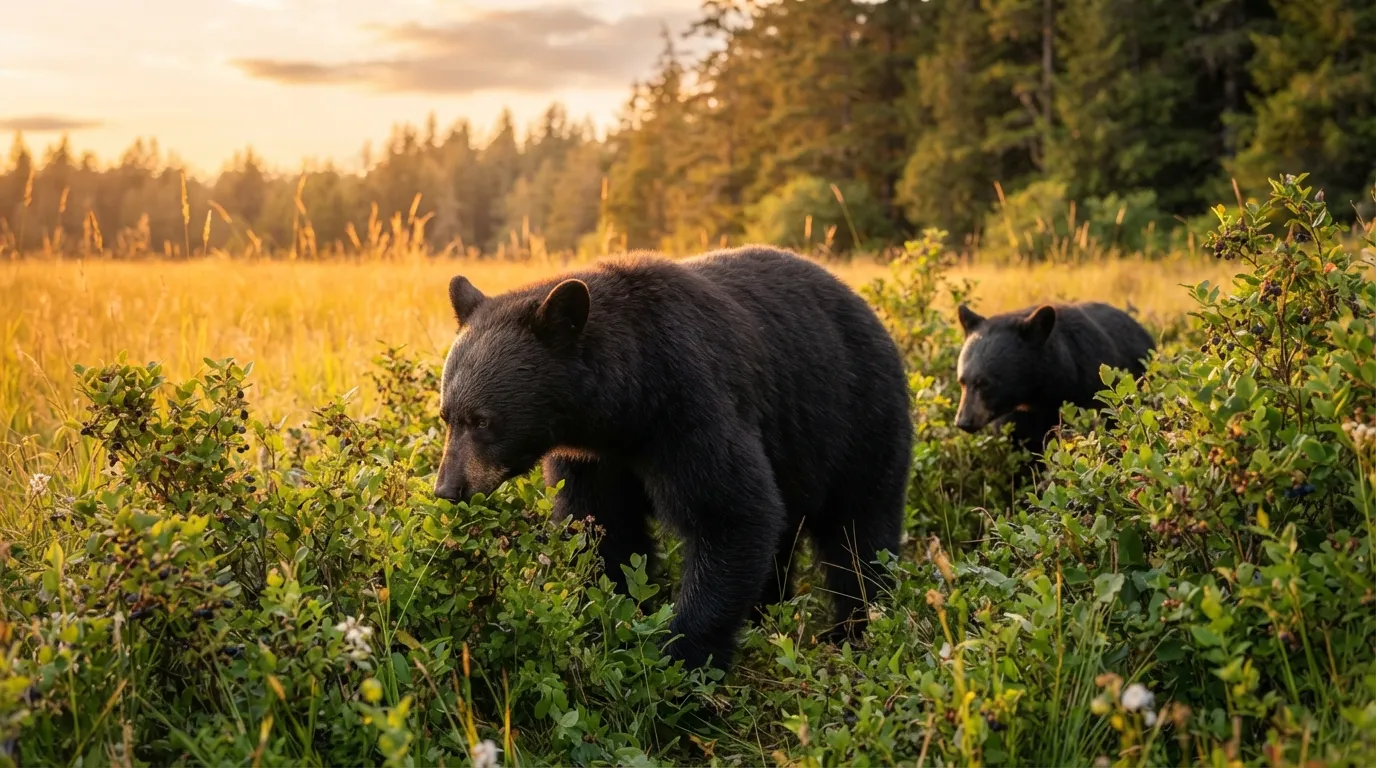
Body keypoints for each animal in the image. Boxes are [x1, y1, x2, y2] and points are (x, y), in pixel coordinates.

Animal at [432, 245, 914, 670]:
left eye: (482, 420)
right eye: (446, 415)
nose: (448, 488)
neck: (627, 405)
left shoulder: (690, 407)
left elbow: (732, 512)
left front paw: (679, 657)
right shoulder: (595, 459)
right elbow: (602, 528)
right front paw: (609, 621)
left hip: (858, 421)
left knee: (861, 533)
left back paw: (853, 629)